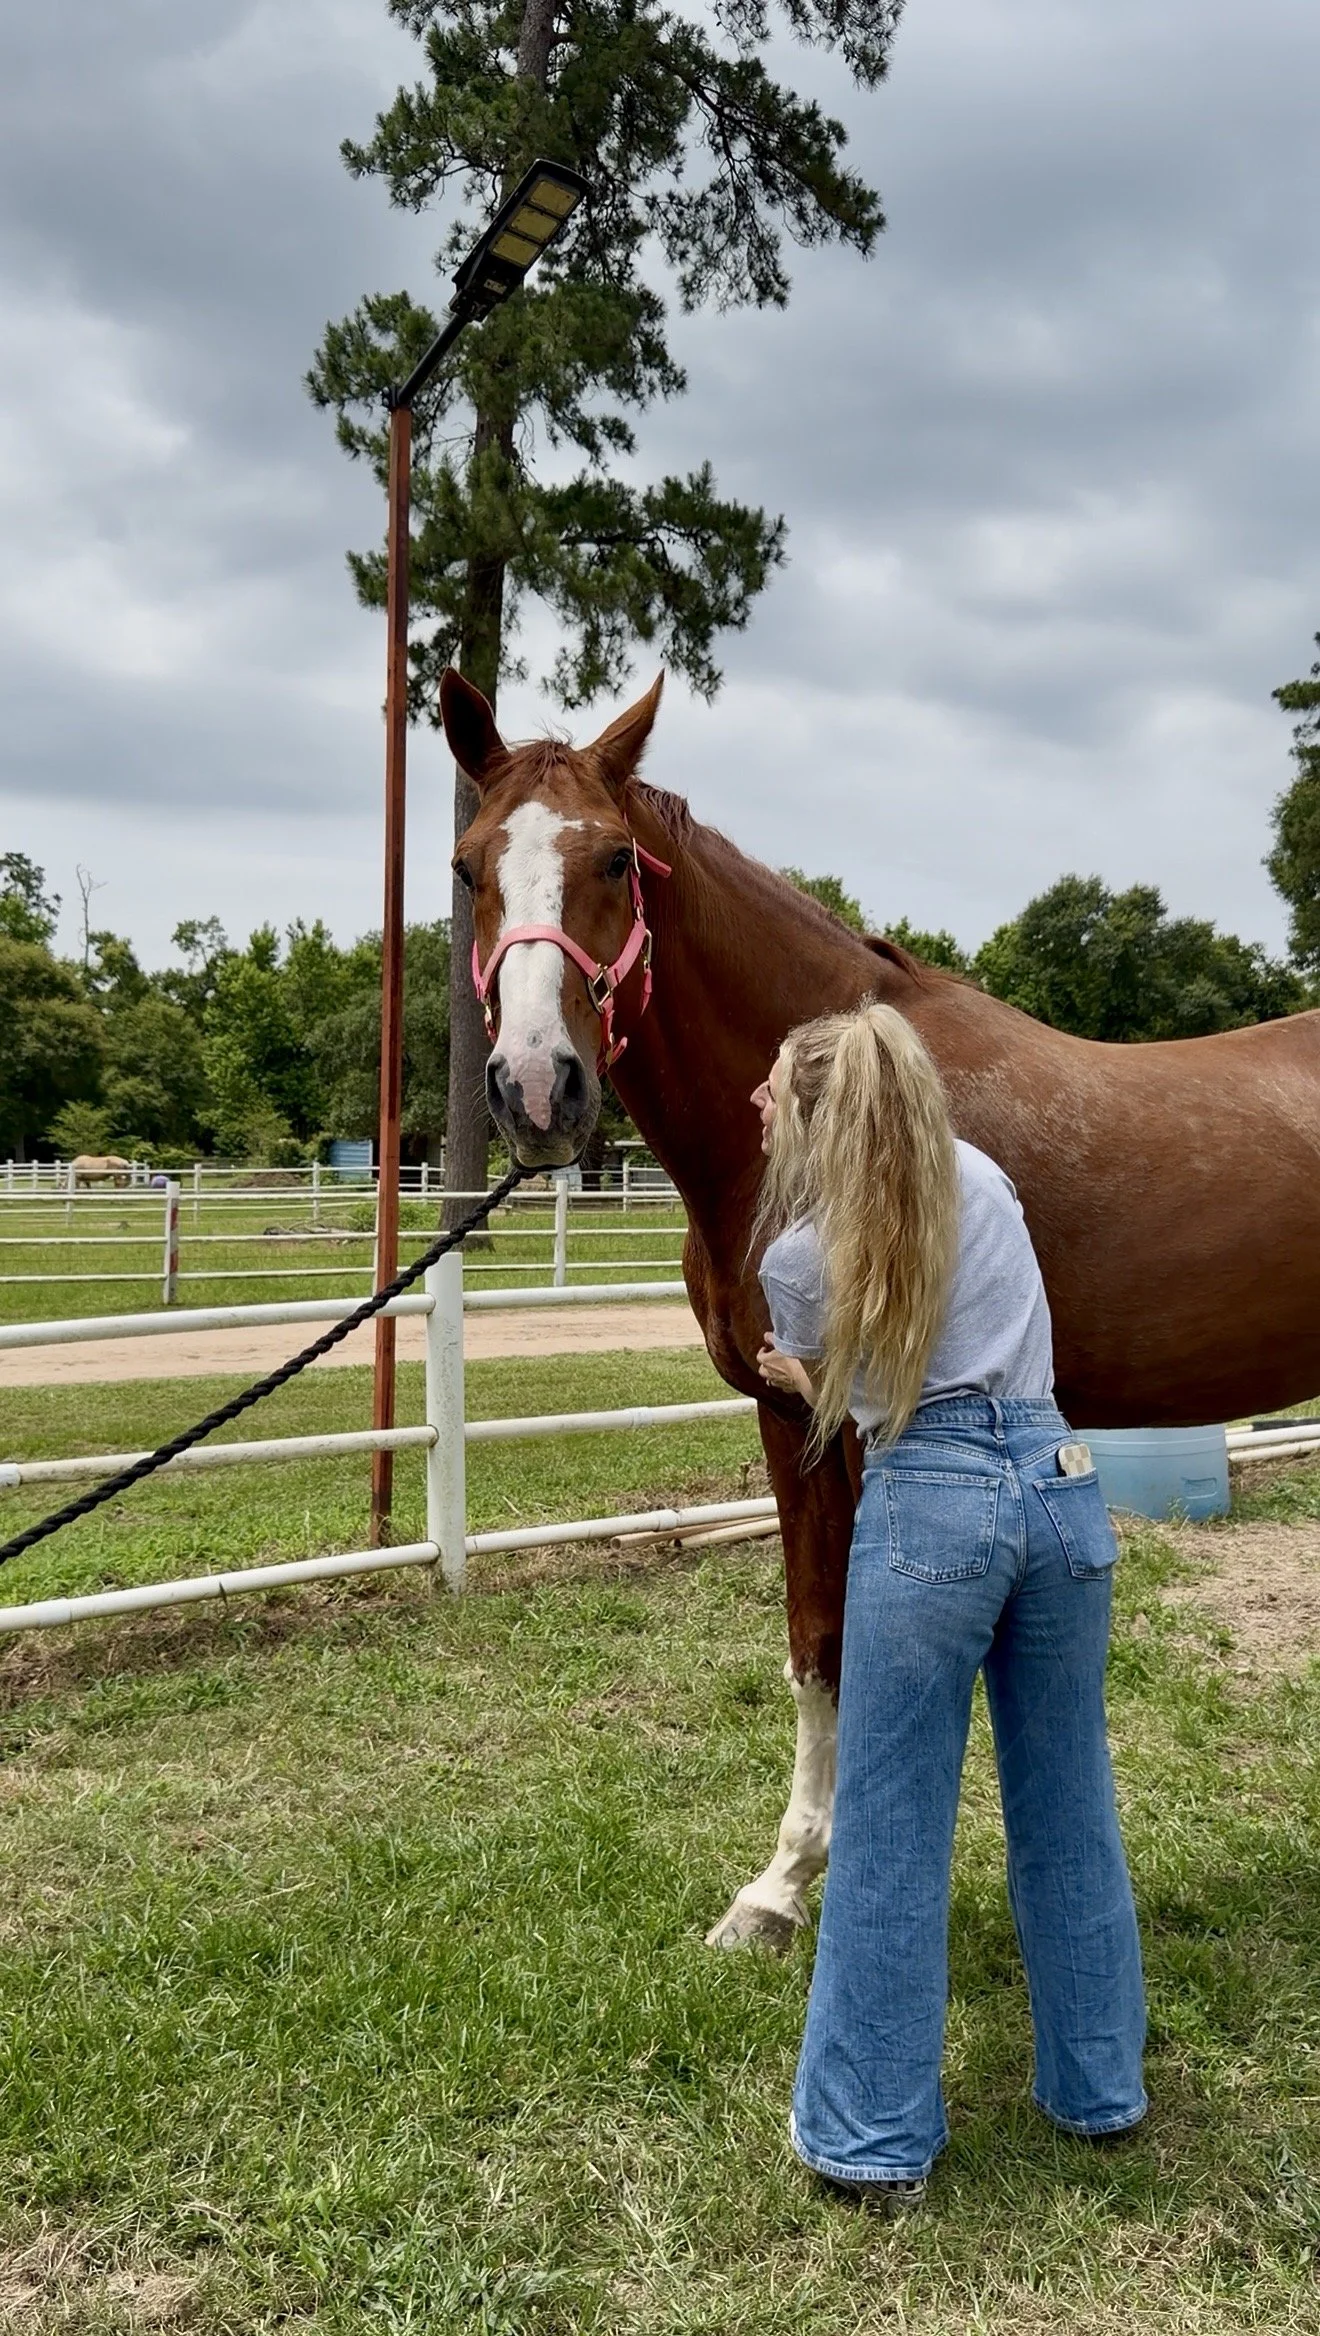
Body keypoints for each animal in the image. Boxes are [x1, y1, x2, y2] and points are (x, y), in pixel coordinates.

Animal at [439, 667, 1320, 1949]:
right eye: (467, 867)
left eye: (613, 858)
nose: (538, 1088)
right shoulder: (788, 1420)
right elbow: (817, 1644)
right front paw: (776, 1890)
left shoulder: (867, 1425)